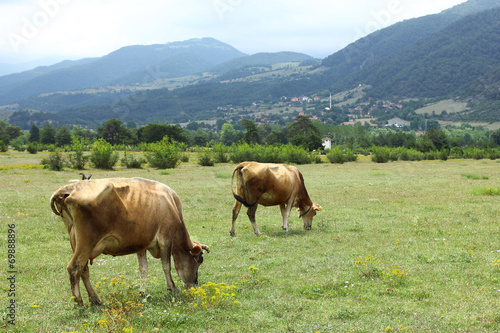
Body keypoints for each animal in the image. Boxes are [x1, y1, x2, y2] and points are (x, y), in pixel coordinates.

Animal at [49, 178, 209, 304]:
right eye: (199, 260)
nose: (195, 284)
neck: (171, 204)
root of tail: (70, 188)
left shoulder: (142, 244)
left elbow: (143, 268)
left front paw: (144, 292)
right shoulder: (166, 239)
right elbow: (166, 266)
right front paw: (172, 288)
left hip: (77, 243)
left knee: (83, 270)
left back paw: (95, 299)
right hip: (86, 242)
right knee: (74, 268)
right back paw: (79, 303)